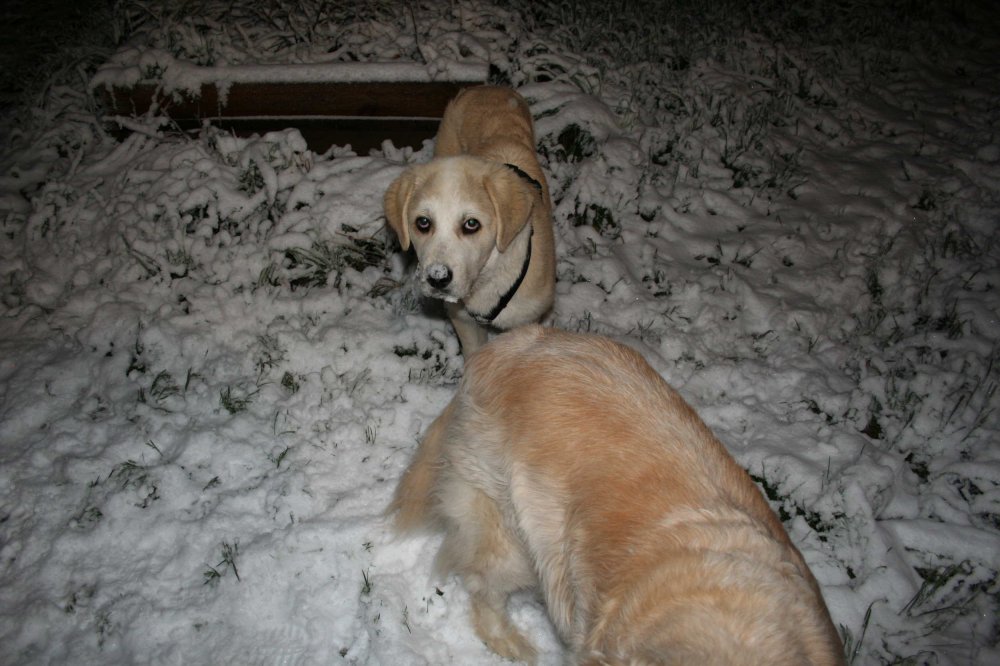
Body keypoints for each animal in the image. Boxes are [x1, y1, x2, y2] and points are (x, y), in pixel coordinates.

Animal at [382, 87, 556, 352]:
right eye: (423, 222)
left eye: (471, 224)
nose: (437, 278)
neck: (488, 278)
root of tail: (488, 88)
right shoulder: (464, 320)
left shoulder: (525, 321)